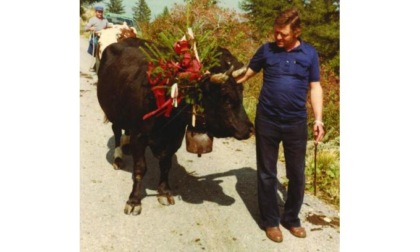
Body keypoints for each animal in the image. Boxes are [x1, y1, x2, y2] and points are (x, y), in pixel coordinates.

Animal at [96, 37, 253, 215]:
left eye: (241, 92)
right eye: (225, 97)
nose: (249, 129)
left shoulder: (175, 137)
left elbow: (166, 165)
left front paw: (164, 192)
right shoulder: (139, 136)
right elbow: (140, 168)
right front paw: (134, 200)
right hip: (112, 111)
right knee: (116, 131)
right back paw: (118, 157)